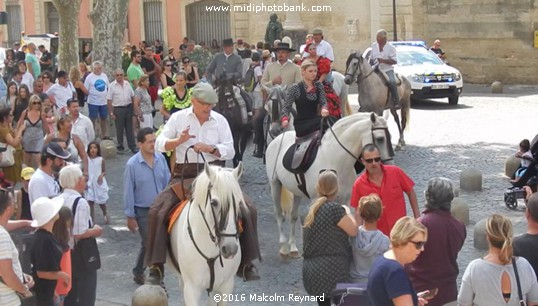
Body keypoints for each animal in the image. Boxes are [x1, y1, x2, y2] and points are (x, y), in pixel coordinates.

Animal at [264, 112, 394, 256]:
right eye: (380, 138)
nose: (389, 164)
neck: (335, 159)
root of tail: (277, 139)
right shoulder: (317, 199)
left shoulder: (345, 199)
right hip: (275, 184)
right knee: (279, 214)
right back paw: (283, 246)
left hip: (296, 190)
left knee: (293, 216)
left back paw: (292, 247)